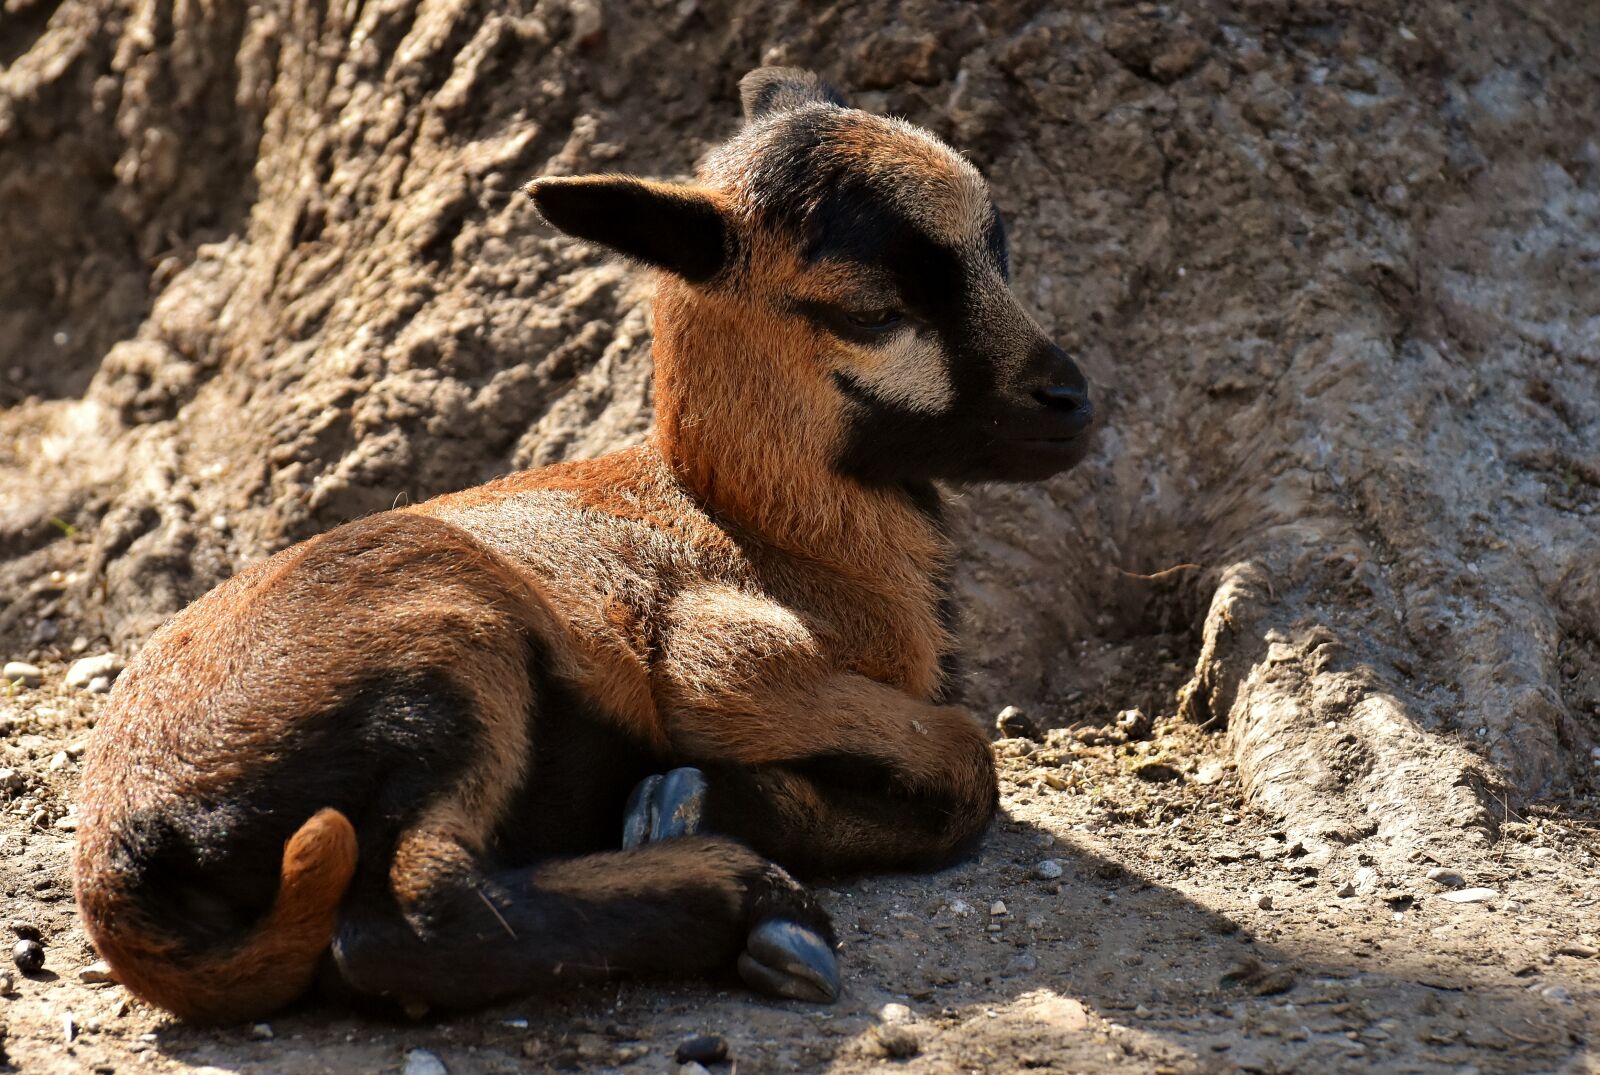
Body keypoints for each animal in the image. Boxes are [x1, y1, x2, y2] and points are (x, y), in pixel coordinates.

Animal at [74, 66, 1096, 1023]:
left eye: (999, 253)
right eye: (873, 312)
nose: (1072, 400)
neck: (764, 529)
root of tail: (123, 850)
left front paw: (694, 801)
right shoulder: (724, 659)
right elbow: (966, 762)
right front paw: (697, 802)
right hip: (447, 650)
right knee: (407, 915)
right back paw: (758, 910)